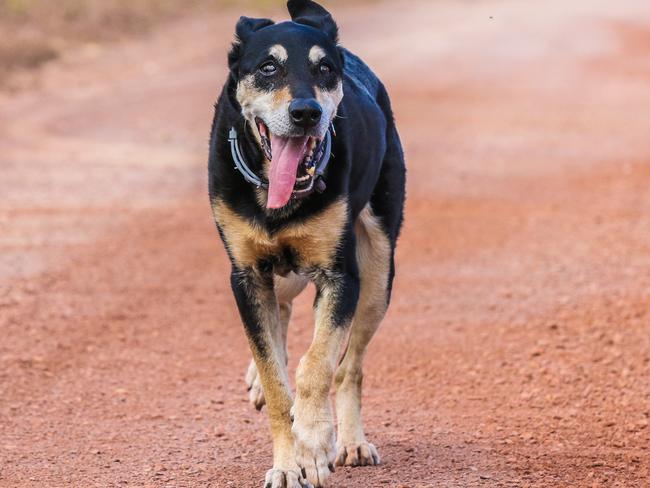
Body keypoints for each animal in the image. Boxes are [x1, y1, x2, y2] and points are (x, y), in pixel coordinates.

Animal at [208, 1, 402, 486]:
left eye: (325, 69)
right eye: (268, 67)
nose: (306, 112)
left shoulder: (340, 276)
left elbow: (317, 365)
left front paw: (313, 445)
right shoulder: (246, 277)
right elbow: (276, 380)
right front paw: (285, 464)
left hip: (378, 273)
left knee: (349, 368)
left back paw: (351, 441)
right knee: (282, 311)